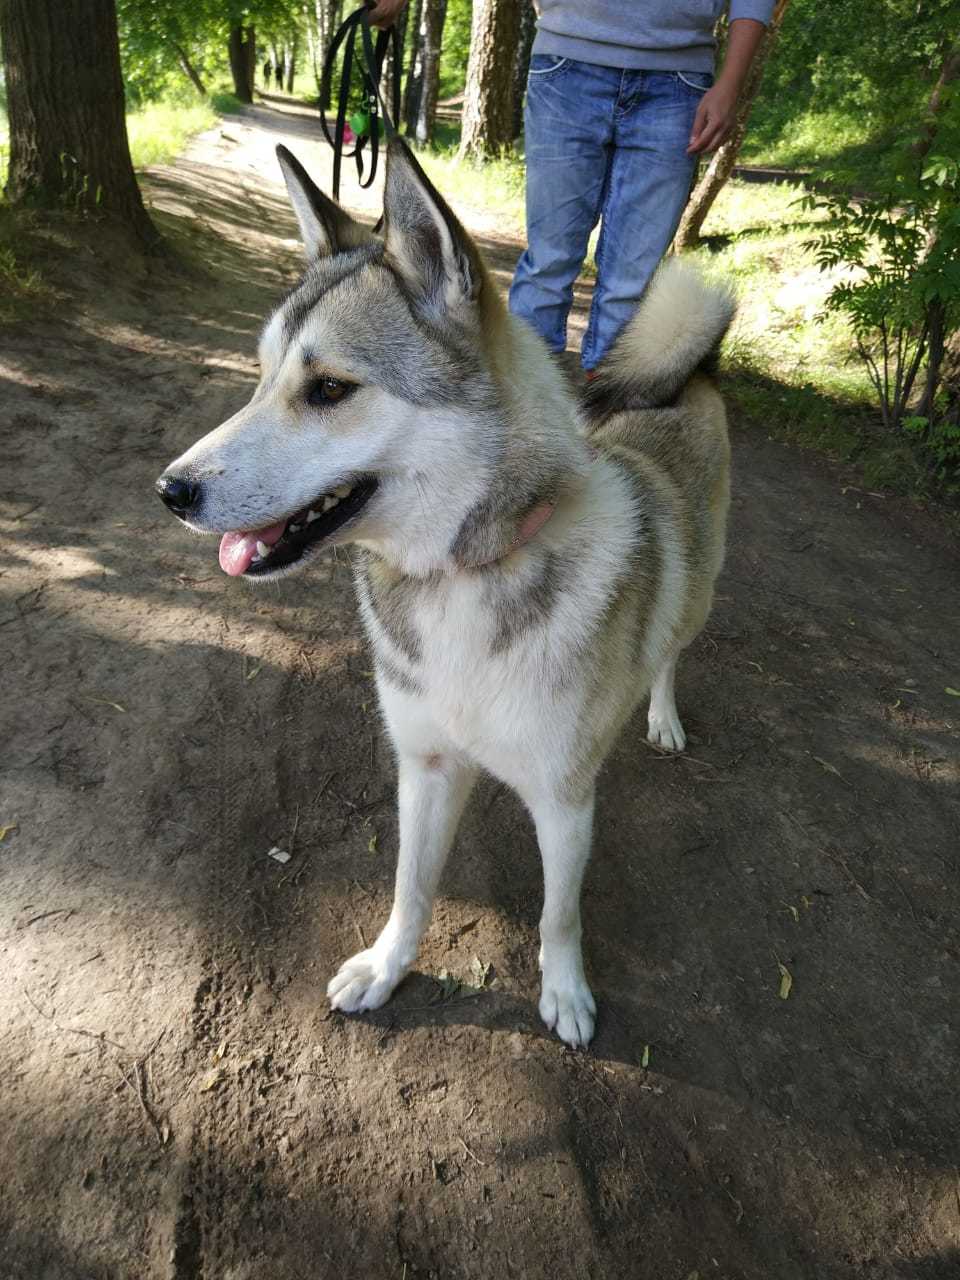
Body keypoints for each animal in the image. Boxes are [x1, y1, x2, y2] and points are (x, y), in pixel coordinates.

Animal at [154, 135, 732, 1044]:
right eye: (261, 375)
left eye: (328, 389)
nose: (170, 491)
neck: (463, 573)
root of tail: (692, 371)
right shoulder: (423, 766)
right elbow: (411, 886)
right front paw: (386, 969)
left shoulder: (565, 804)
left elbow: (558, 915)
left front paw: (565, 993)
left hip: (700, 594)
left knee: (672, 650)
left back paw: (663, 716)